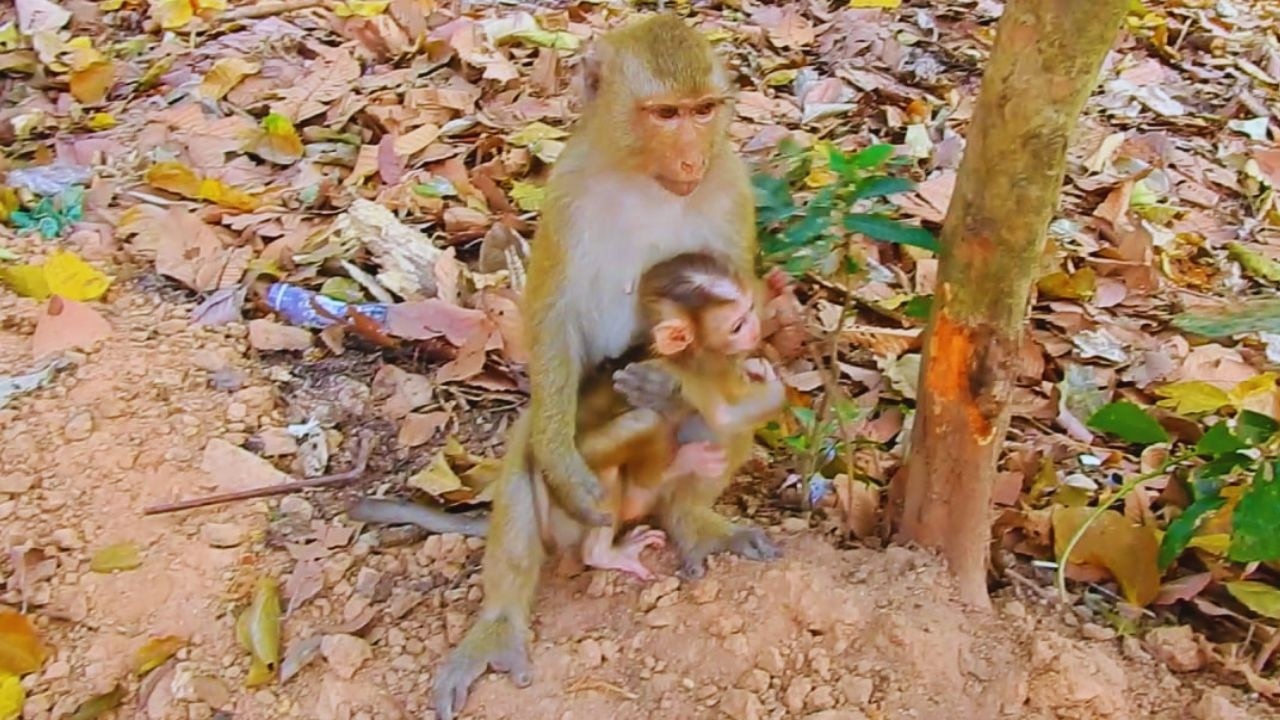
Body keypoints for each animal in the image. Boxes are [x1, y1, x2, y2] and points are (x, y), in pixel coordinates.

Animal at [433, 14, 776, 720]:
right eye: (665, 114)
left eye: (703, 111)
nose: (692, 159)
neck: (645, 177)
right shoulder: (567, 192)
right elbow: (553, 319)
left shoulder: (731, 186)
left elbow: (735, 331)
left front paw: (674, 379)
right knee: (527, 454)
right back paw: (500, 621)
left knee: (722, 419)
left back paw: (691, 520)